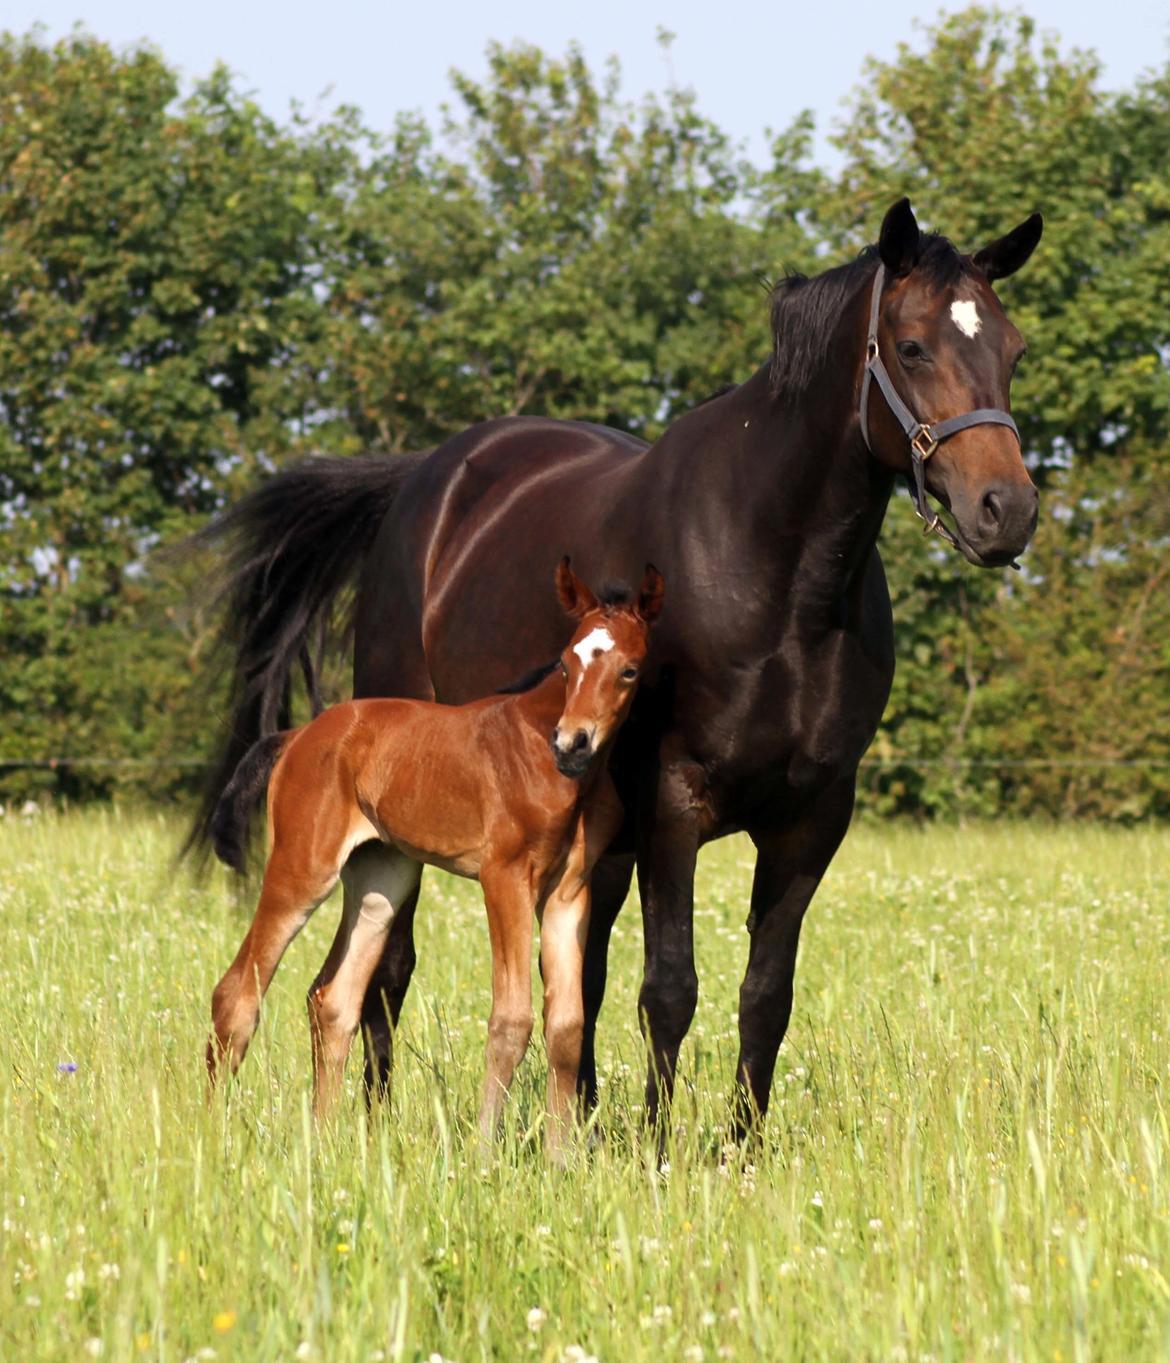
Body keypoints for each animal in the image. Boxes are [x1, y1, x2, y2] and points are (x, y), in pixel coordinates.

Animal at [208, 558, 660, 1155]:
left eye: (629, 671)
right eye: (567, 664)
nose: (572, 742)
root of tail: (298, 734)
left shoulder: (569, 891)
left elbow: (566, 1024)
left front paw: (562, 1161)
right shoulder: (505, 877)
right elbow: (511, 1019)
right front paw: (485, 1152)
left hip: (382, 879)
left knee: (333, 999)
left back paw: (324, 1142)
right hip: (303, 868)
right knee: (237, 993)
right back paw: (210, 1132)